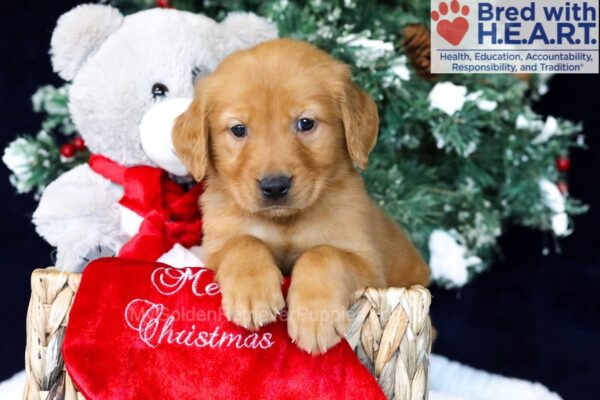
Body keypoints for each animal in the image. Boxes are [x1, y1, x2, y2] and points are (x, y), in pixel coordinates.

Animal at [171, 38, 428, 354]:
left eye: (306, 123)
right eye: (238, 129)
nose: (274, 186)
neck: (286, 222)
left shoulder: (369, 268)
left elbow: (322, 253)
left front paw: (314, 317)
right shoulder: (216, 247)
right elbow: (244, 241)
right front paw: (252, 293)